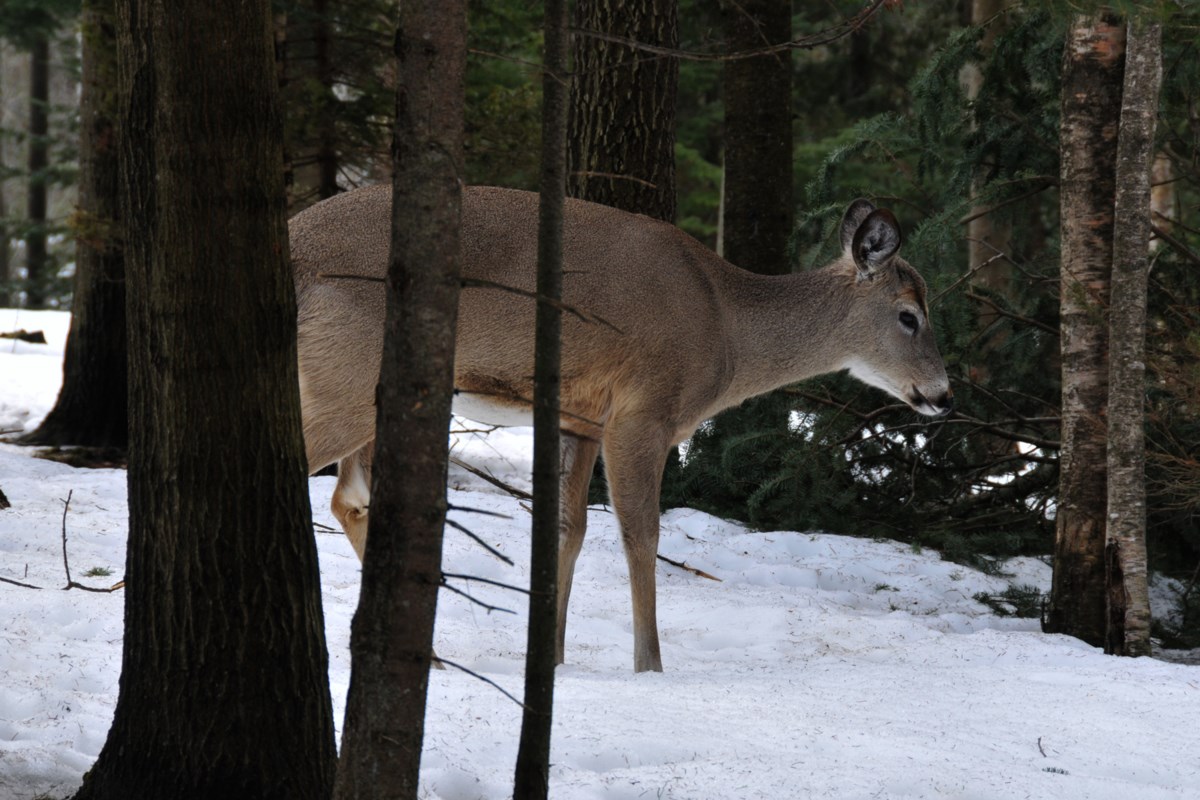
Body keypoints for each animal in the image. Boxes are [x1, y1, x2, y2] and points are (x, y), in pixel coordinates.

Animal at [291, 184, 952, 673]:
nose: (944, 395)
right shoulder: (642, 411)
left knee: (349, 496)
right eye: (909, 316)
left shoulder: (580, 417)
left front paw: (553, 656)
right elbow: (641, 535)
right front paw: (650, 666)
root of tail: (295, 248)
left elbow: (568, 529)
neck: (727, 329)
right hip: (344, 378)